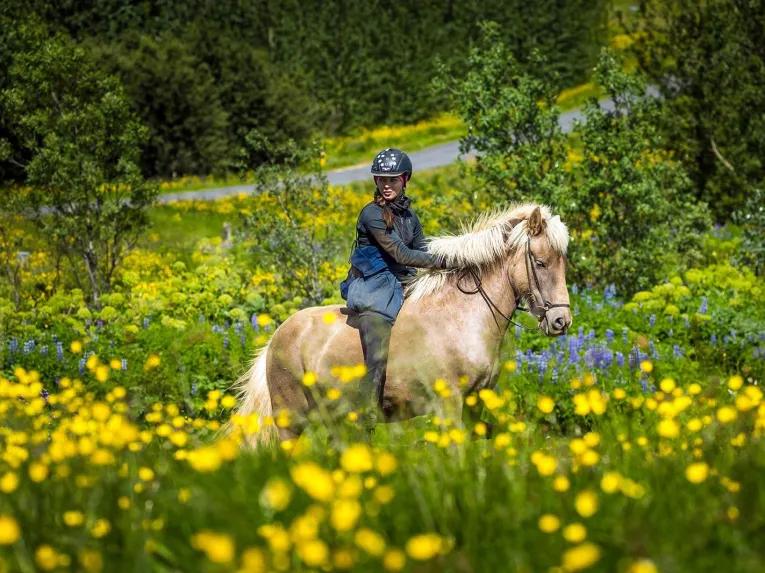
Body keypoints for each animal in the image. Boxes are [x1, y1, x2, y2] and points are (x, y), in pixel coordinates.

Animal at [235, 203, 571, 445]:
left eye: (562, 262)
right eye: (540, 262)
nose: (561, 321)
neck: (463, 318)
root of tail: (276, 338)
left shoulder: (476, 402)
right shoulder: (449, 405)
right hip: (291, 421)